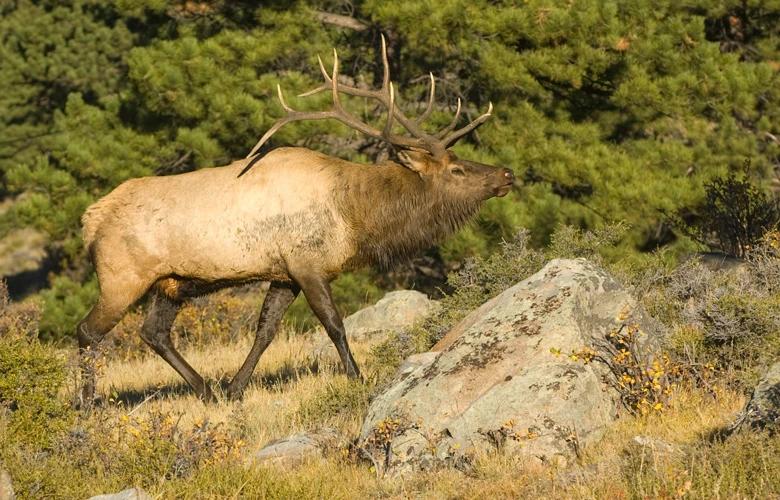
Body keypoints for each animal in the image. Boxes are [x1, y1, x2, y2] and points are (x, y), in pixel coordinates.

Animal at [76, 36, 516, 406]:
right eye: (457, 169)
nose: (506, 174)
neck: (354, 217)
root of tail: (89, 220)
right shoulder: (307, 264)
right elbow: (334, 324)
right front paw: (358, 378)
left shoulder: (284, 273)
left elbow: (265, 330)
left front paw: (235, 388)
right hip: (122, 276)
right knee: (88, 331)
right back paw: (85, 406)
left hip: (171, 282)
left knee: (153, 332)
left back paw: (207, 391)